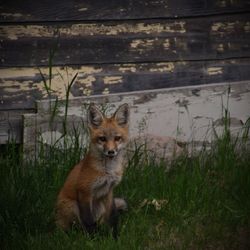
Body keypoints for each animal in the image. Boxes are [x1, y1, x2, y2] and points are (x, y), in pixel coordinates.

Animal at [54, 103, 129, 238]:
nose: (111, 152)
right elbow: (88, 221)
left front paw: (114, 237)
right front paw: (92, 239)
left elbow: (113, 216)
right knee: (76, 227)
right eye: (102, 139)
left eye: (117, 138)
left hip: (100, 206)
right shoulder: (85, 192)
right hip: (72, 206)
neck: (107, 171)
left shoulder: (109, 191)